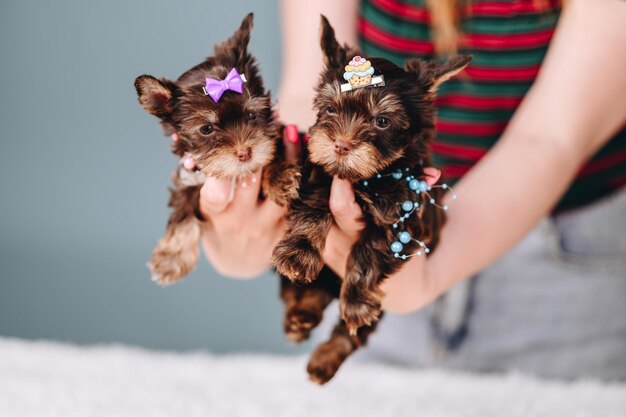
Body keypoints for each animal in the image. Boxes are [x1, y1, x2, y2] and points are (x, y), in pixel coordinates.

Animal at [132, 13, 300, 286]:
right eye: (206, 129)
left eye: (251, 115)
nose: (245, 153)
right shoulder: (190, 178)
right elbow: (182, 214)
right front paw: (171, 258)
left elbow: (274, 151)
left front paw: (280, 177)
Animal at [272, 15, 468, 384]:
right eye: (329, 109)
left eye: (382, 121)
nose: (340, 145)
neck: (366, 178)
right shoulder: (319, 177)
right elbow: (313, 210)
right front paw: (299, 253)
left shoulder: (404, 219)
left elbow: (369, 251)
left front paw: (355, 301)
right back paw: (301, 315)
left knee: (357, 331)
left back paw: (326, 357)